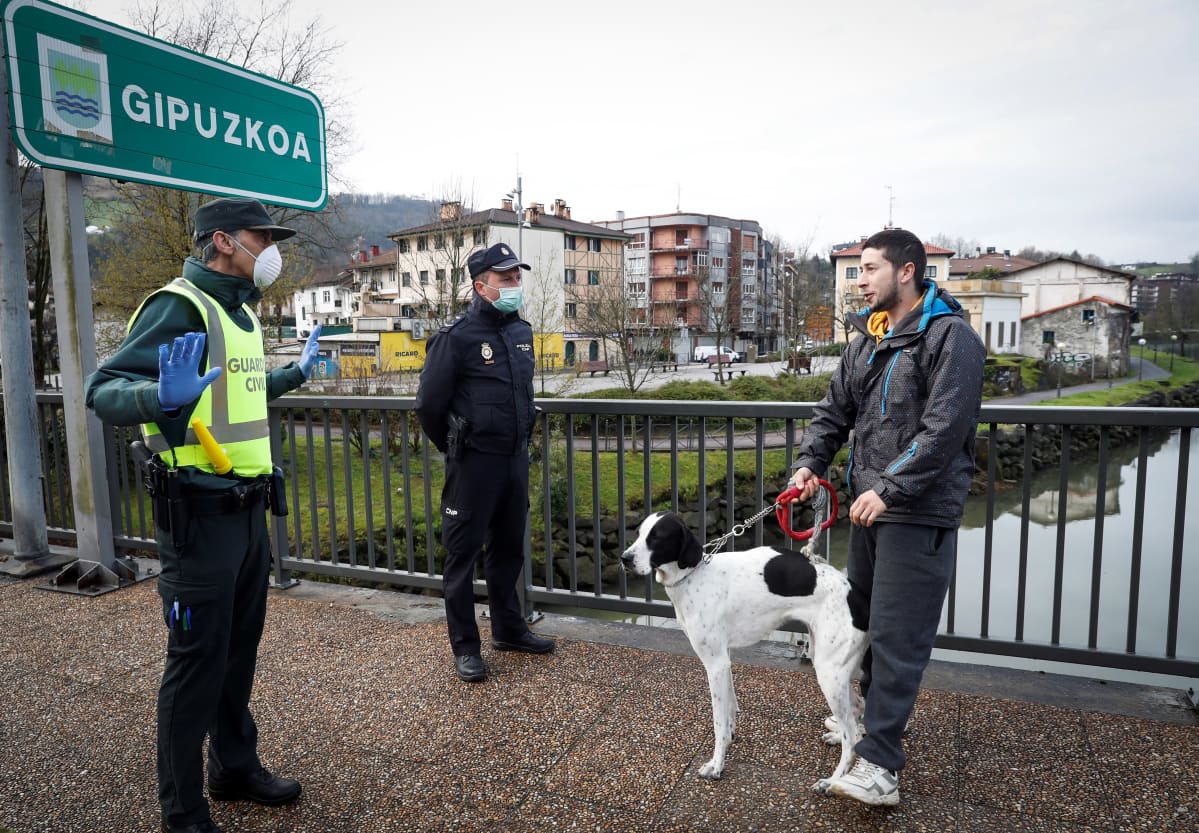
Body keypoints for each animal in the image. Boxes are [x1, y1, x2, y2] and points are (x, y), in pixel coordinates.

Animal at [623, 510, 868, 791]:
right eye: (638, 533)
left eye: (658, 536)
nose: (624, 559)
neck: (696, 577)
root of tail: (855, 593)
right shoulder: (725, 660)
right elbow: (729, 710)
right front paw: (729, 740)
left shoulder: (715, 664)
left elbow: (718, 722)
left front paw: (716, 765)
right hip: (831, 667)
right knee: (857, 711)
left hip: (829, 674)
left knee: (851, 735)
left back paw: (834, 780)